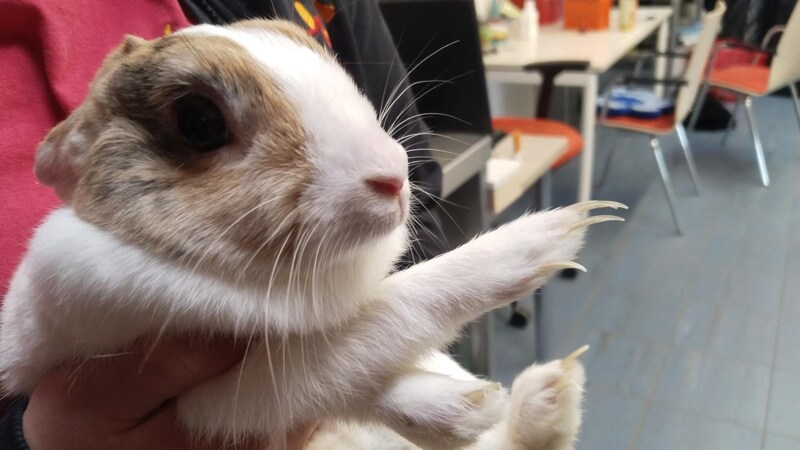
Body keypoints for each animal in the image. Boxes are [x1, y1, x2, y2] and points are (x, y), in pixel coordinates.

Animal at [0, 19, 624, 448]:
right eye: (198, 121)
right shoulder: (212, 401)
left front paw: (468, 406)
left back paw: (549, 396)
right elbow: (384, 319)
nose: (393, 173)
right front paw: (549, 236)